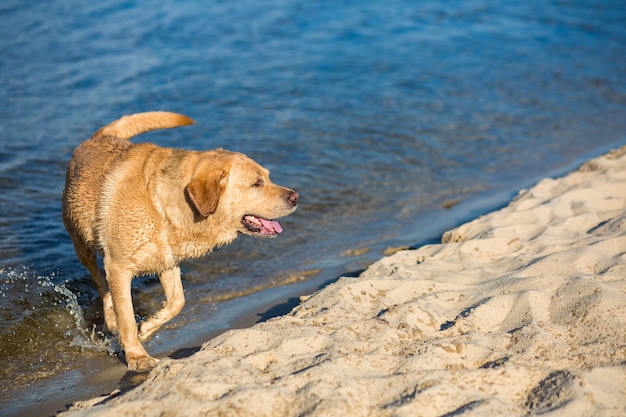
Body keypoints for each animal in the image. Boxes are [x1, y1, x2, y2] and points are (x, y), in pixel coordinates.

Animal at [60, 112, 298, 368]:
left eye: (268, 178)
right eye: (257, 183)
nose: (295, 197)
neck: (161, 203)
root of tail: (99, 136)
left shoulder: (167, 260)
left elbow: (177, 302)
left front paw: (147, 327)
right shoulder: (118, 266)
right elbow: (127, 318)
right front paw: (137, 355)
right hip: (82, 245)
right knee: (100, 284)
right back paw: (110, 317)